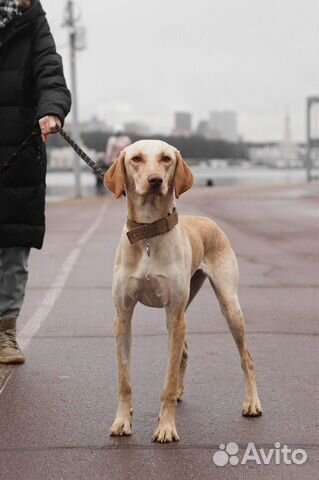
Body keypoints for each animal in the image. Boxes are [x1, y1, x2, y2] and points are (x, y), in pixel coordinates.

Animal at [105, 141, 262, 444]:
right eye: (136, 159)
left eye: (166, 158)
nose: (155, 181)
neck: (148, 235)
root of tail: (207, 220)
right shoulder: (123, 315)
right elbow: (123, 379)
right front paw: (122, 421)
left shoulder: (174, 314)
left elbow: (165, 382)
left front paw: (166, 427)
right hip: (183, 308)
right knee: (185, 351)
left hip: (227, 305)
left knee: (246, 357)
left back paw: (251, 403)